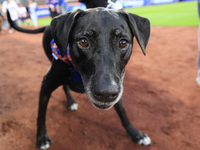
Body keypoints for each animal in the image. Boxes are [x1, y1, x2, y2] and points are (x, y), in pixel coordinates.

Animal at [7, 7, 152, 149]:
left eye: (123, 42)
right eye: (83, 41)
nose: (106, 93)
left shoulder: (117, 85)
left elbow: (123, 113)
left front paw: (136, 134)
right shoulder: (46, 85)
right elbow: (41, 115)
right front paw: (41, 137)